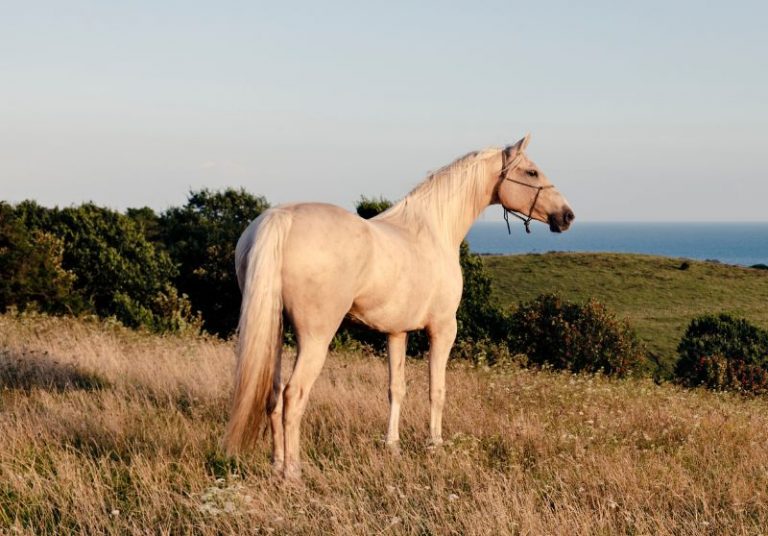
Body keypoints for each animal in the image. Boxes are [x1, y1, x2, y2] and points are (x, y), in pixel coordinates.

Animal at [224, 134, 574, 480]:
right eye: (531, 172)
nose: (567, 216)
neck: (434, 230)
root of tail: (282, 217)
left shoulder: (396, 332)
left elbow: (396, 388)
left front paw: (392, 445)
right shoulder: (443, 329)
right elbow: (437, 390)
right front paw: (435, 446)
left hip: (275, 332)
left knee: (273, 394)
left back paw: (276, 464)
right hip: (315, 337)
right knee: (293, 394)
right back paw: (293, 472)